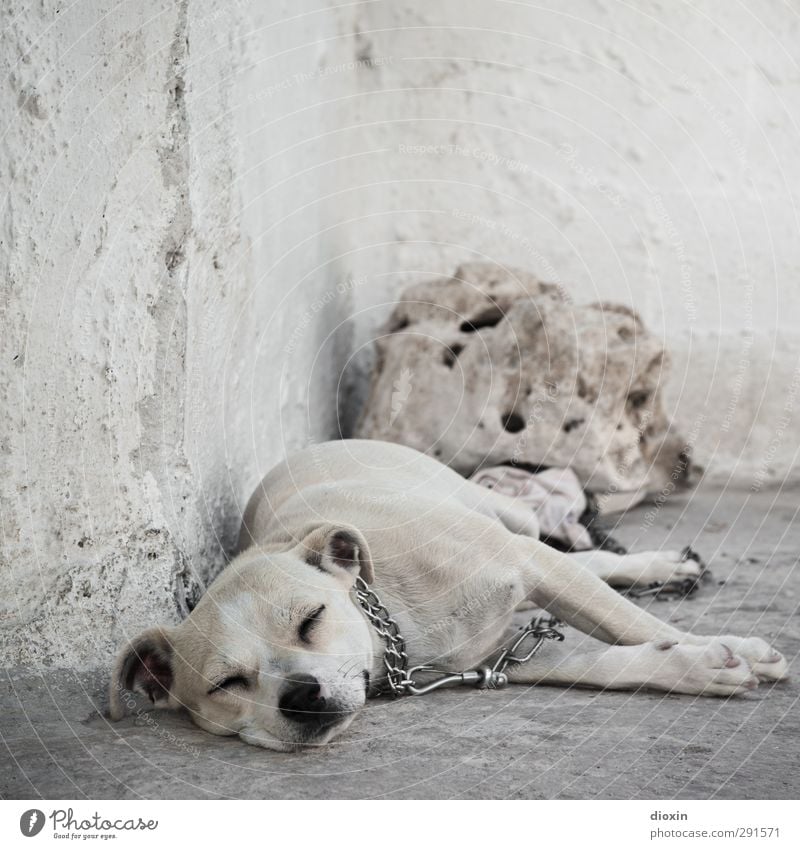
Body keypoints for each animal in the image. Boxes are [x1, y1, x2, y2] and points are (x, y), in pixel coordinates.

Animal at [109, 438, 792, 748]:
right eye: (227, 684)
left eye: (312, 619)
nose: (300, 696)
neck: (393, 626)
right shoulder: (504, 660)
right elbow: (605, 662)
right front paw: (700, 665)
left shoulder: (529, 564)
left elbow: (633, 626)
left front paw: (721, 646)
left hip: (511, 521)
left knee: (580, 555)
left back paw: (658, 565)